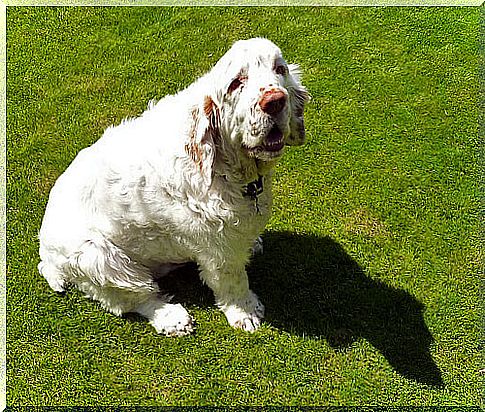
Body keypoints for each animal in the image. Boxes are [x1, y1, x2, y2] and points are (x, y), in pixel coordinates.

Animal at [39, 37, 308, 334]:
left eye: (279, 69)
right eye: (236, 83)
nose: (275, 101)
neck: (224, 165)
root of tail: (46, 255)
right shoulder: (218, 250)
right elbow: (233, 281)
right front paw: (245, 312)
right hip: (101, 260)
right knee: (131, 299)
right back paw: (172, 318)